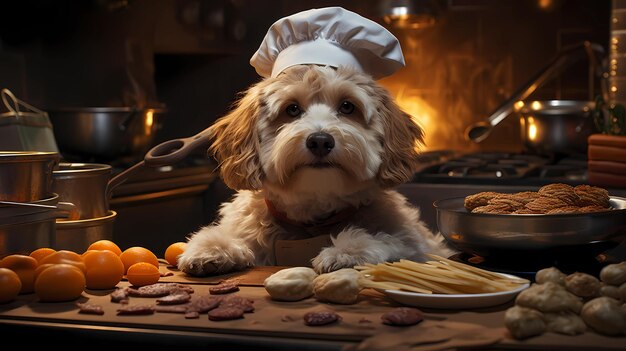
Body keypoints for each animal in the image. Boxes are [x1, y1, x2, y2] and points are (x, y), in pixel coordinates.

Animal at [177, 64, 454, 278]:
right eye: (291, 109)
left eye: (347, 107)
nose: (320, 141)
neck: (312, 218)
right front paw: (211, 248)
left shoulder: (417, 246)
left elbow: (390, 241)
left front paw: (345, 252)